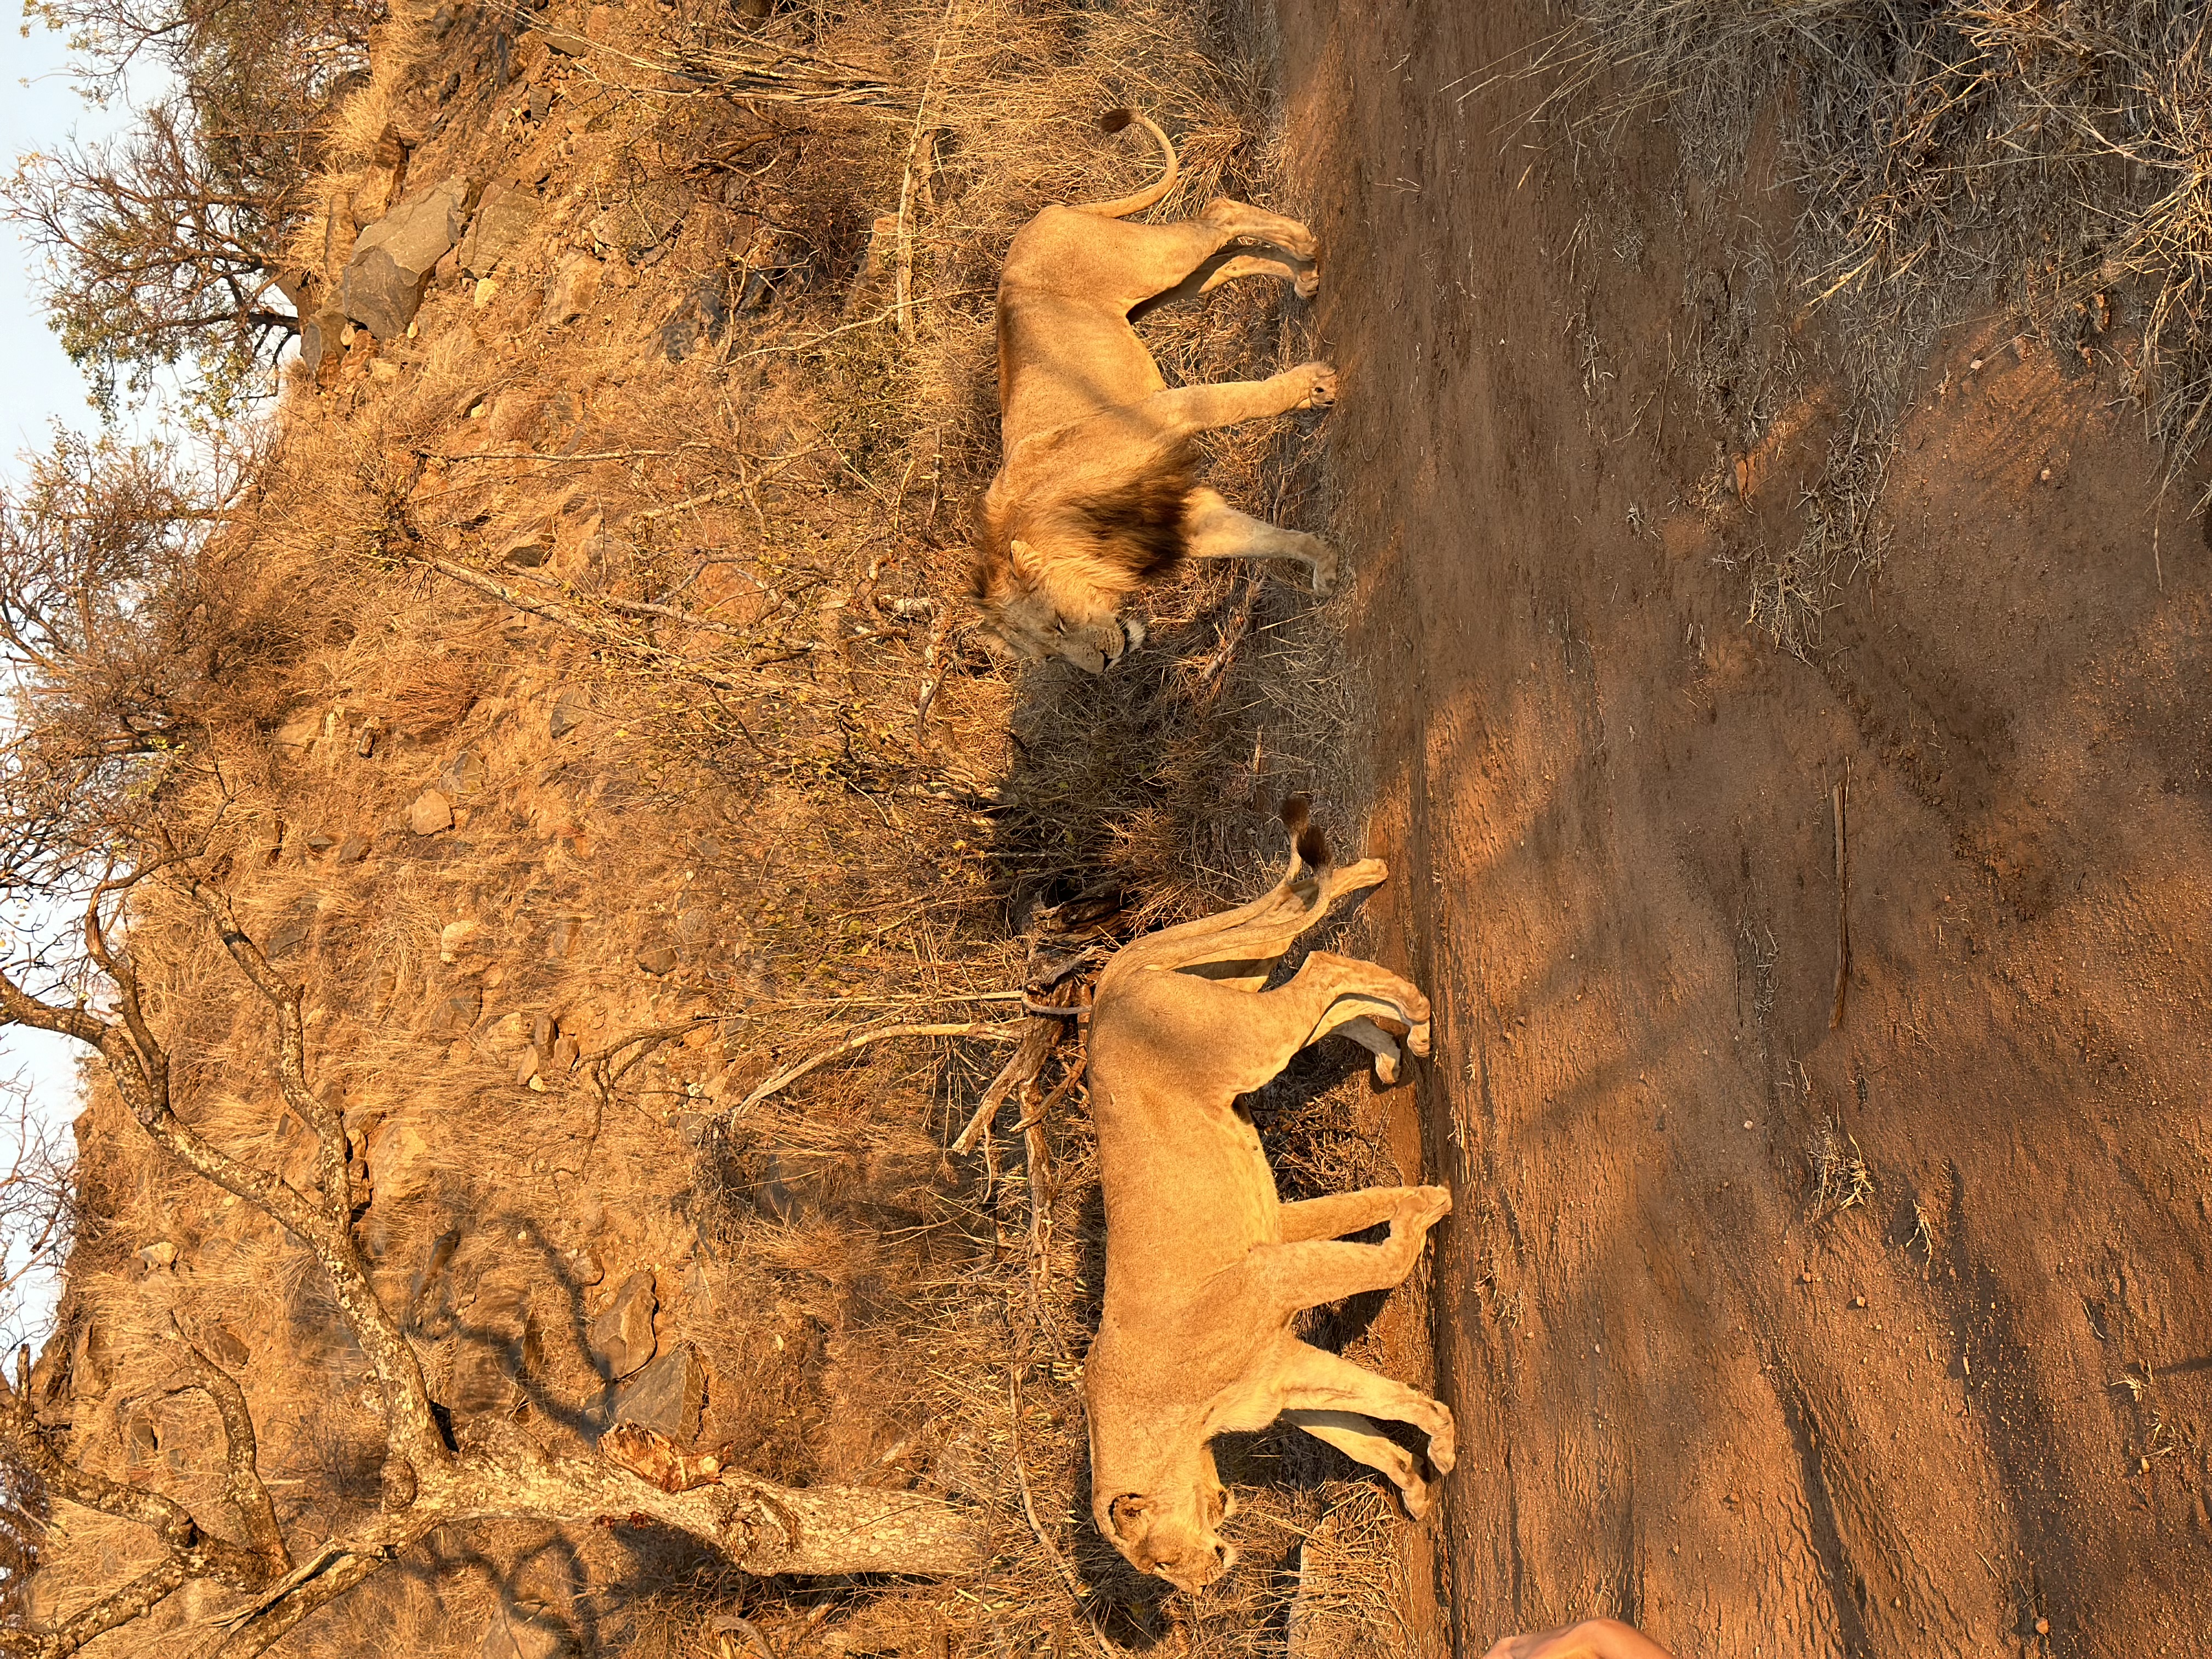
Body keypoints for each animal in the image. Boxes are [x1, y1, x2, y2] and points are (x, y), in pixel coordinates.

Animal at [973, 111, 1340, 672]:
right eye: (1051, 655)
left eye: (1058, 623)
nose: (1102, 667)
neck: (1066, 522)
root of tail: (1043, 215)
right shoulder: (1180, 518)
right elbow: (1264, 540)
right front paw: (1323, 563)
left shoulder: (1165, 412)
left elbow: (1239, 399)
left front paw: (1313, 385)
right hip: (1166, 289)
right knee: (1229, 259)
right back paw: (1304, 276)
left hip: (1152, 265)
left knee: (1221, 212)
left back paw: (1305, 247)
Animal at [1082, 798, 1453, 1591]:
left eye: (1162, 1562)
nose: (1205, 1585)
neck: (1177, 1428)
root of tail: (1104, 994)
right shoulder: (1278, 1372)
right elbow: (1365, 1423)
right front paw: (1418, 1476)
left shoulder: (1271, 1278)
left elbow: (1376, 1267)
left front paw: (1427, 1211)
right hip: (1236, 988)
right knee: (1305, 958)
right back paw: (1394, 1039)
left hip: (1244, 1035)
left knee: (1317, 964)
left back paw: (1417, 1015)